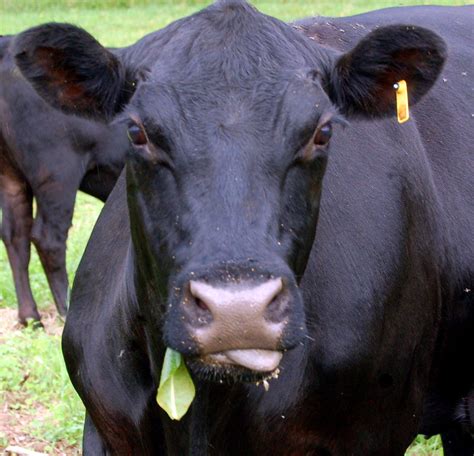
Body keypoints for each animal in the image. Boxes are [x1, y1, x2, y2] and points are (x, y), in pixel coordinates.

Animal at [0, 36, 129, 324]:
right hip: (56, 171)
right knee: (47, 238)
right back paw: (66, 308)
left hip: (11, 175)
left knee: (15, 234)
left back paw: (30, 316)